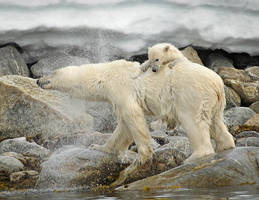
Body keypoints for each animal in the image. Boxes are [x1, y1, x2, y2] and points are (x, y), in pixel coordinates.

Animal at [38, 43, 236, 186]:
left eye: (52, 72)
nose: (38, 80)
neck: (105, 75)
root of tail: (217, 83)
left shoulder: (121, 89)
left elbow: (132, 117)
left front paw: (141, 158)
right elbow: (123, 127)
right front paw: (99, 147)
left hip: (190, 95)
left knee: (194, 123)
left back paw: (192, 157)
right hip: (214, 103)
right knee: (216, 124)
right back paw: (225, 145)